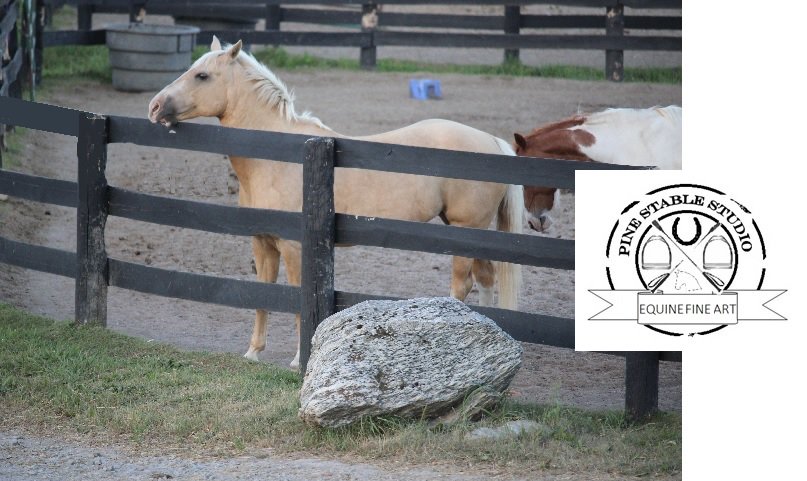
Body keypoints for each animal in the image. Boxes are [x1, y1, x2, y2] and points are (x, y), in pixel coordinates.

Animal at [147, 37, 523, 369]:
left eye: (202, 76)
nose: (154, 107)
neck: (278, 157)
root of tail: (492, 142)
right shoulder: (262, 243)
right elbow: (262, 296)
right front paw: (253, 353)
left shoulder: (294, 248)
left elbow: (297, 301)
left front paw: (299, 359)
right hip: (473, 233)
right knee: (486, 279)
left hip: (464, 229)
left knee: (463, 285)